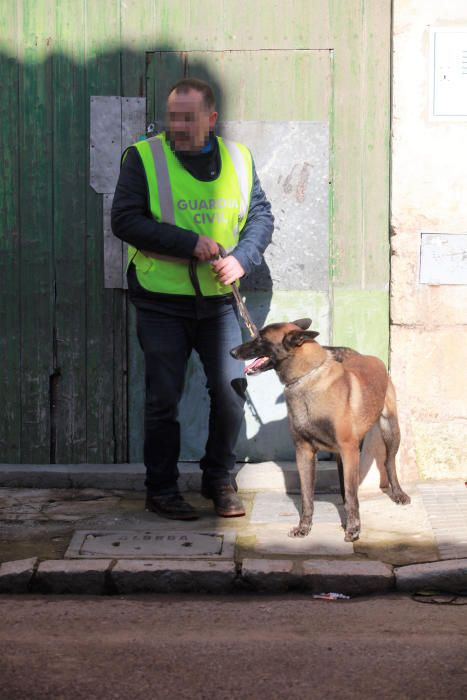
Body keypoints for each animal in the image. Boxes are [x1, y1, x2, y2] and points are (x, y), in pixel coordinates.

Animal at [232, 318, 412, 540]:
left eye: (260, 339)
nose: (232, 351)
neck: (307, 381)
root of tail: (364, 356)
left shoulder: (349, 449)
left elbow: (352, 493)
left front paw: (353, 528)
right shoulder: (304, 452)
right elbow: (307, 496)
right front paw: (304, 527)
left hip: (390, 430)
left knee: (388, 462)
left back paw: (398, 493)